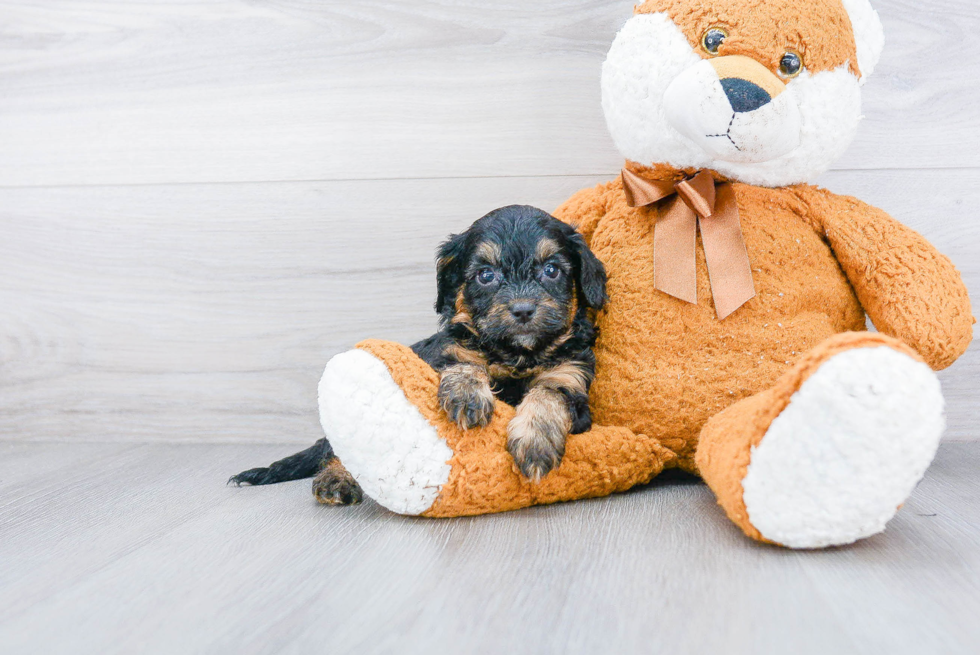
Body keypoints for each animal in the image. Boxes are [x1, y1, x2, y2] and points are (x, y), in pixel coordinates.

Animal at [231, 208, 608, 504]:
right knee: (339, 452)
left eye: (552, 270)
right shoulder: (448, 353)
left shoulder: (571, 379)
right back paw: (337, 479)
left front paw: (534, 440)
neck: (516, 354)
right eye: (486, 275)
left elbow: (548, 393)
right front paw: (468, 393)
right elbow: (465, 362)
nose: (523, 310)